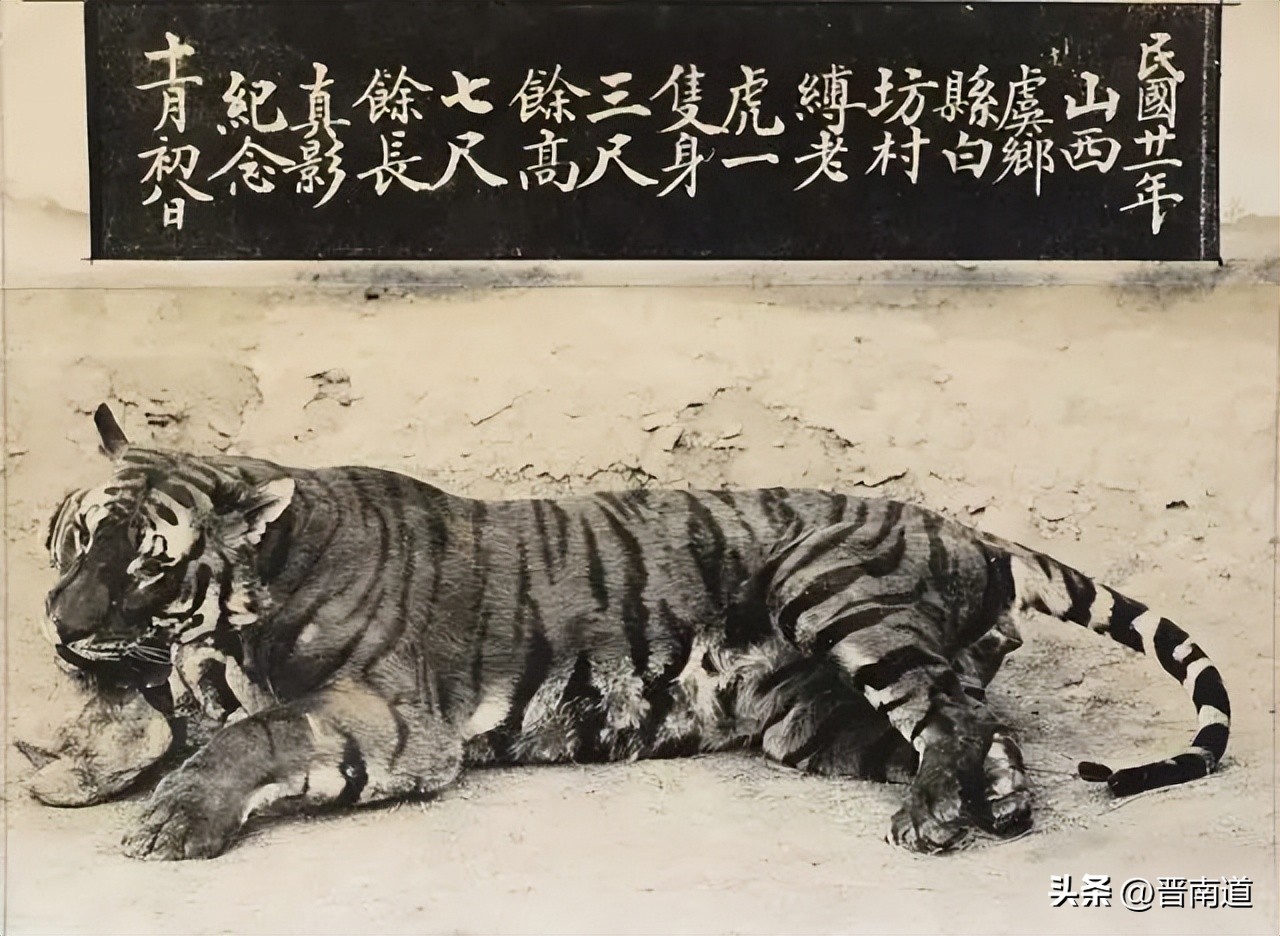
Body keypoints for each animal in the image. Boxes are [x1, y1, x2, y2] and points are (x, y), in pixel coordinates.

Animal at [37, 404, 1231, 860]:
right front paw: (72, 773)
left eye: (146, 562)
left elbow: (257, 735)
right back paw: (998, 806)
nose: (57, 627)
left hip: (833, 590)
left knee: (950, 713)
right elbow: (160, 725)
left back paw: (933, 818)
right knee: (983, 720)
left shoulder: (387, 717)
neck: (229, 613)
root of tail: (966, 527)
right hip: (804, 715)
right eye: (73, 541)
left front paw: (173, 820)